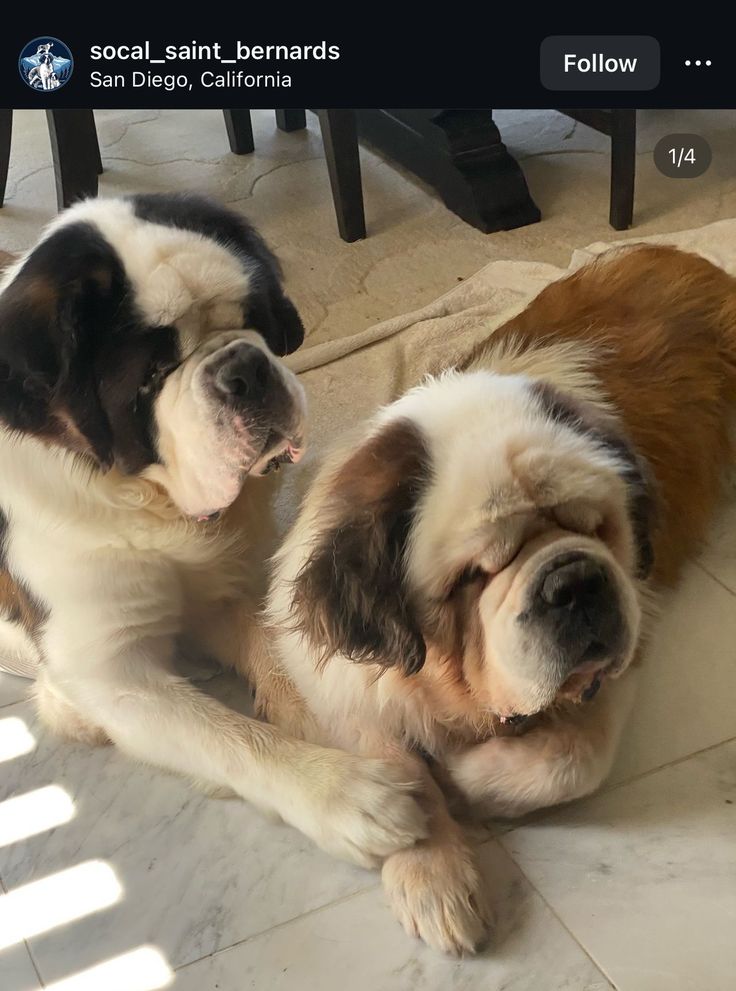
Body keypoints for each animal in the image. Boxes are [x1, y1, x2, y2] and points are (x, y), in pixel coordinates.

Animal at [0, 192, 428, 868]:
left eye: (249, 317)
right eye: (151, 373)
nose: (244, 368)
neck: (146, 504)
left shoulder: (225, 588)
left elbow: (276, 656)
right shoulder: (111, 673)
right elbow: (227, 737)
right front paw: (346, 793)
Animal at [266, 240, 736, 952]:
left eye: (596, 527)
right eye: (476, 574)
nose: (575, 580)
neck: (451, 689)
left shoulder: (628, 643)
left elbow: (571, 758)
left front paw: (466, 781)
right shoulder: (340, 680)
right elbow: (390, 762)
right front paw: (433, 874)